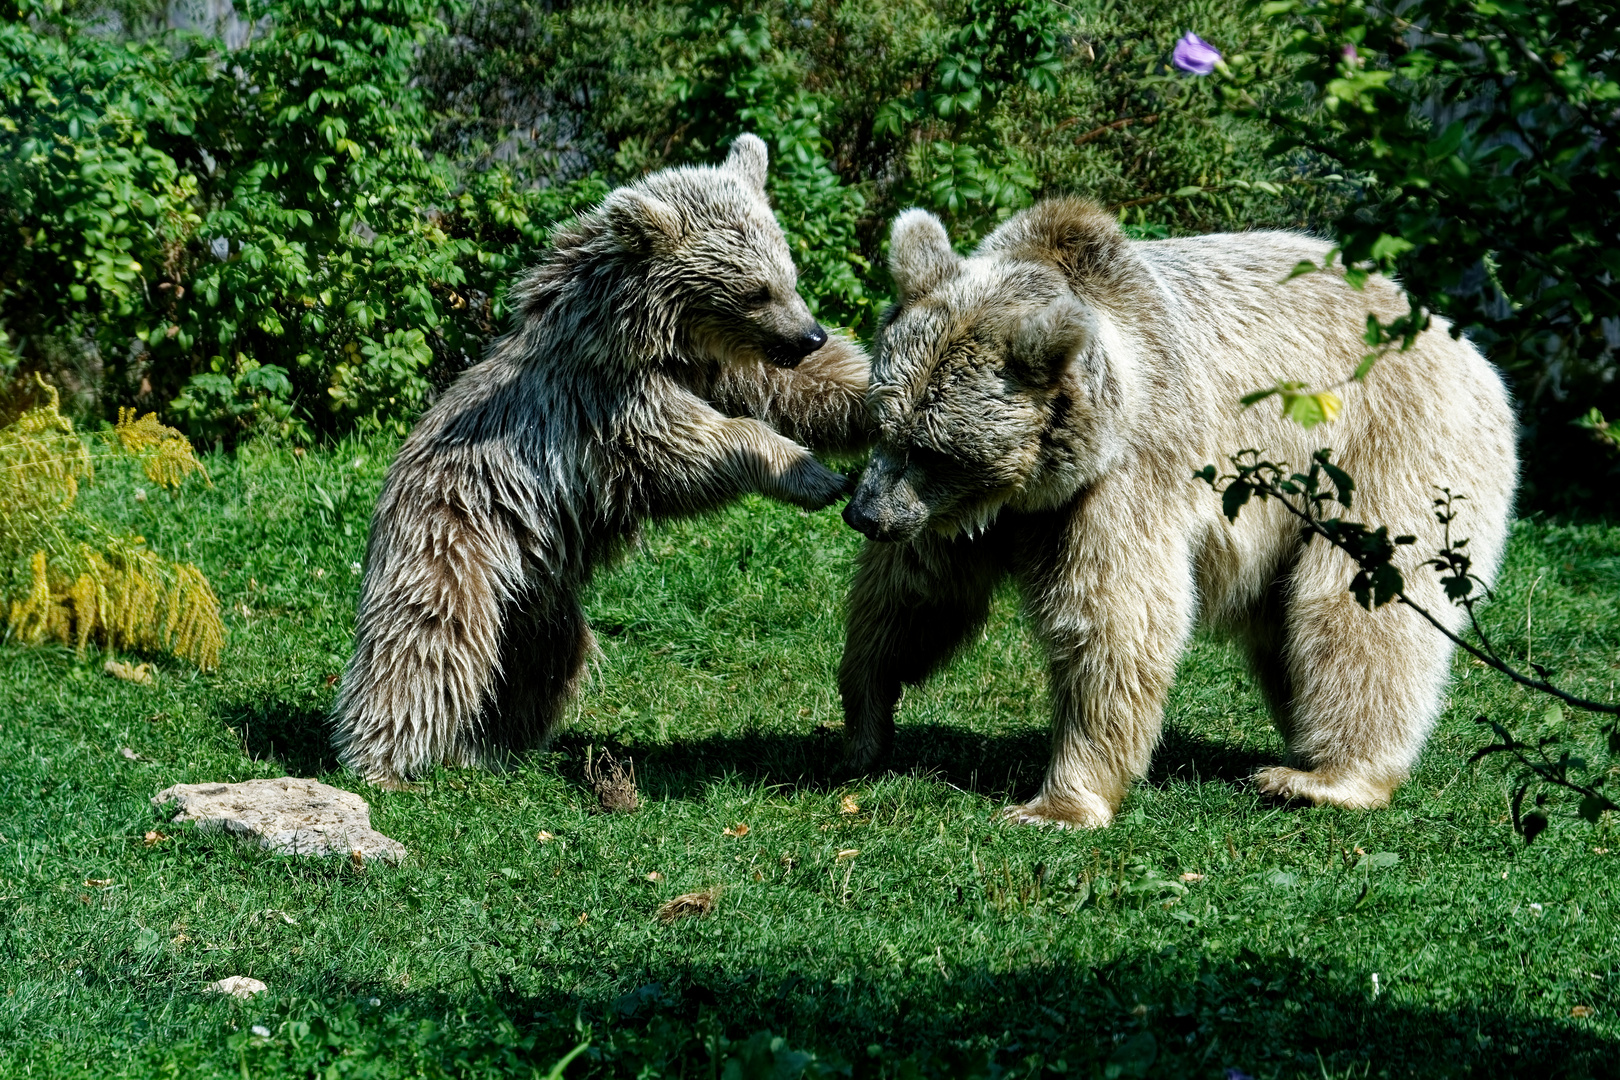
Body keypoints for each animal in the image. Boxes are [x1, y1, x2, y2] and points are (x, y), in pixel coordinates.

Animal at [332, 139, 874, 790]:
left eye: (789, 275)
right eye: (755, 291)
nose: (810, 334)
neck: (652, 338)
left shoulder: (726, 369)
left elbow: (806, 391)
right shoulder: (608, 407)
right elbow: (690, 449)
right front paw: (813, 475)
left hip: (538, 592)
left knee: (543, 658)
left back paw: (491, 743)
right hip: (454, 537)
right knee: (426, 637)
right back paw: (382, 759)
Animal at [835, 200, 1516, 829]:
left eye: (934, 449)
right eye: (883, 424)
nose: (864, 515)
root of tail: (1460, 342)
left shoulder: (1130, 475)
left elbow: (1113, 621)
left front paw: (1058, 803)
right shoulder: (973, 515)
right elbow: (915, 593)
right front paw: (864, 723)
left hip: (1389, 443)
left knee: (1357, 603)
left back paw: (1325, 777)